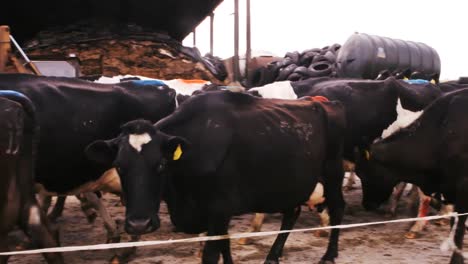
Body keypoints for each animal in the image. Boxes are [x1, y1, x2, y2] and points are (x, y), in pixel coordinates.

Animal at [86, 91, 346, 264]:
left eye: (161, 164)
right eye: (119, 166)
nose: (139, 224)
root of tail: (326, 103)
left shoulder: (219, 209)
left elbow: (213, 253)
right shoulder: (217, 214)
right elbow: (225, 244)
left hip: (332, 172)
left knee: (338, 207)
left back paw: (329, 255)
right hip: (289, 182)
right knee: (292, 213)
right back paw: (273, 257)